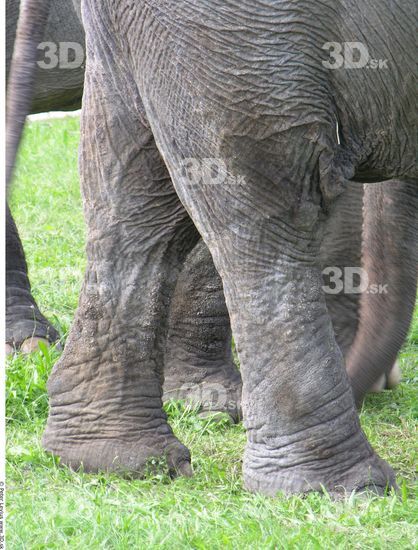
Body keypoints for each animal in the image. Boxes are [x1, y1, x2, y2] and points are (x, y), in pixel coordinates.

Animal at [6, 0, 418, 494]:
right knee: (267, 194)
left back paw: (115, 460)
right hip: (236, 31)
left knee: (135, 181)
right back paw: (342, 487)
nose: (372, 387)